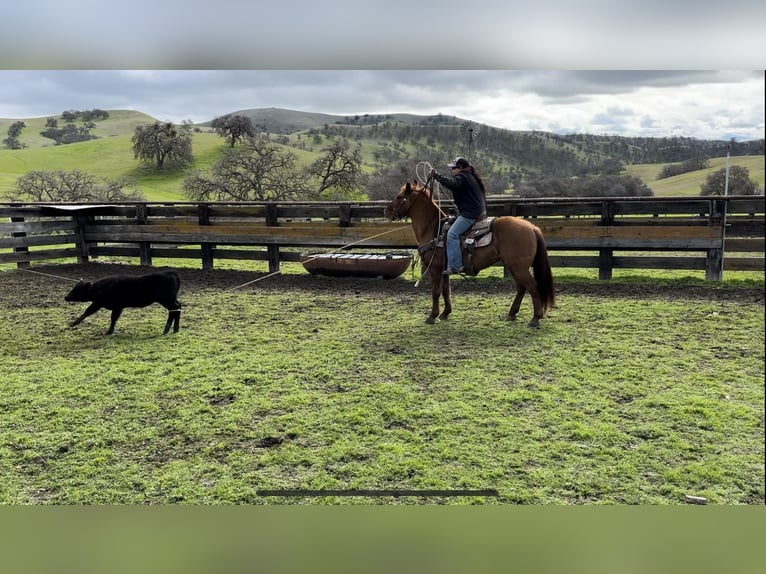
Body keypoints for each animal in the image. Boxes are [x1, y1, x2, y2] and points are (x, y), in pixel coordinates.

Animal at [388, 182, 556, 328]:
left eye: (399, 196)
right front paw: (445, 313)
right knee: (522, 287)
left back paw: (535, 318)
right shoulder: (444, 270)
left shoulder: (435, 269)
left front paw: (432, 316)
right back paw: (512, 313)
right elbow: (446, 290)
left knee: (533, 287)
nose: (386, 211)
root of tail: (532, 227)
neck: (433, 228)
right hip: (514, 267)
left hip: (519, 268)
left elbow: (435, 292)